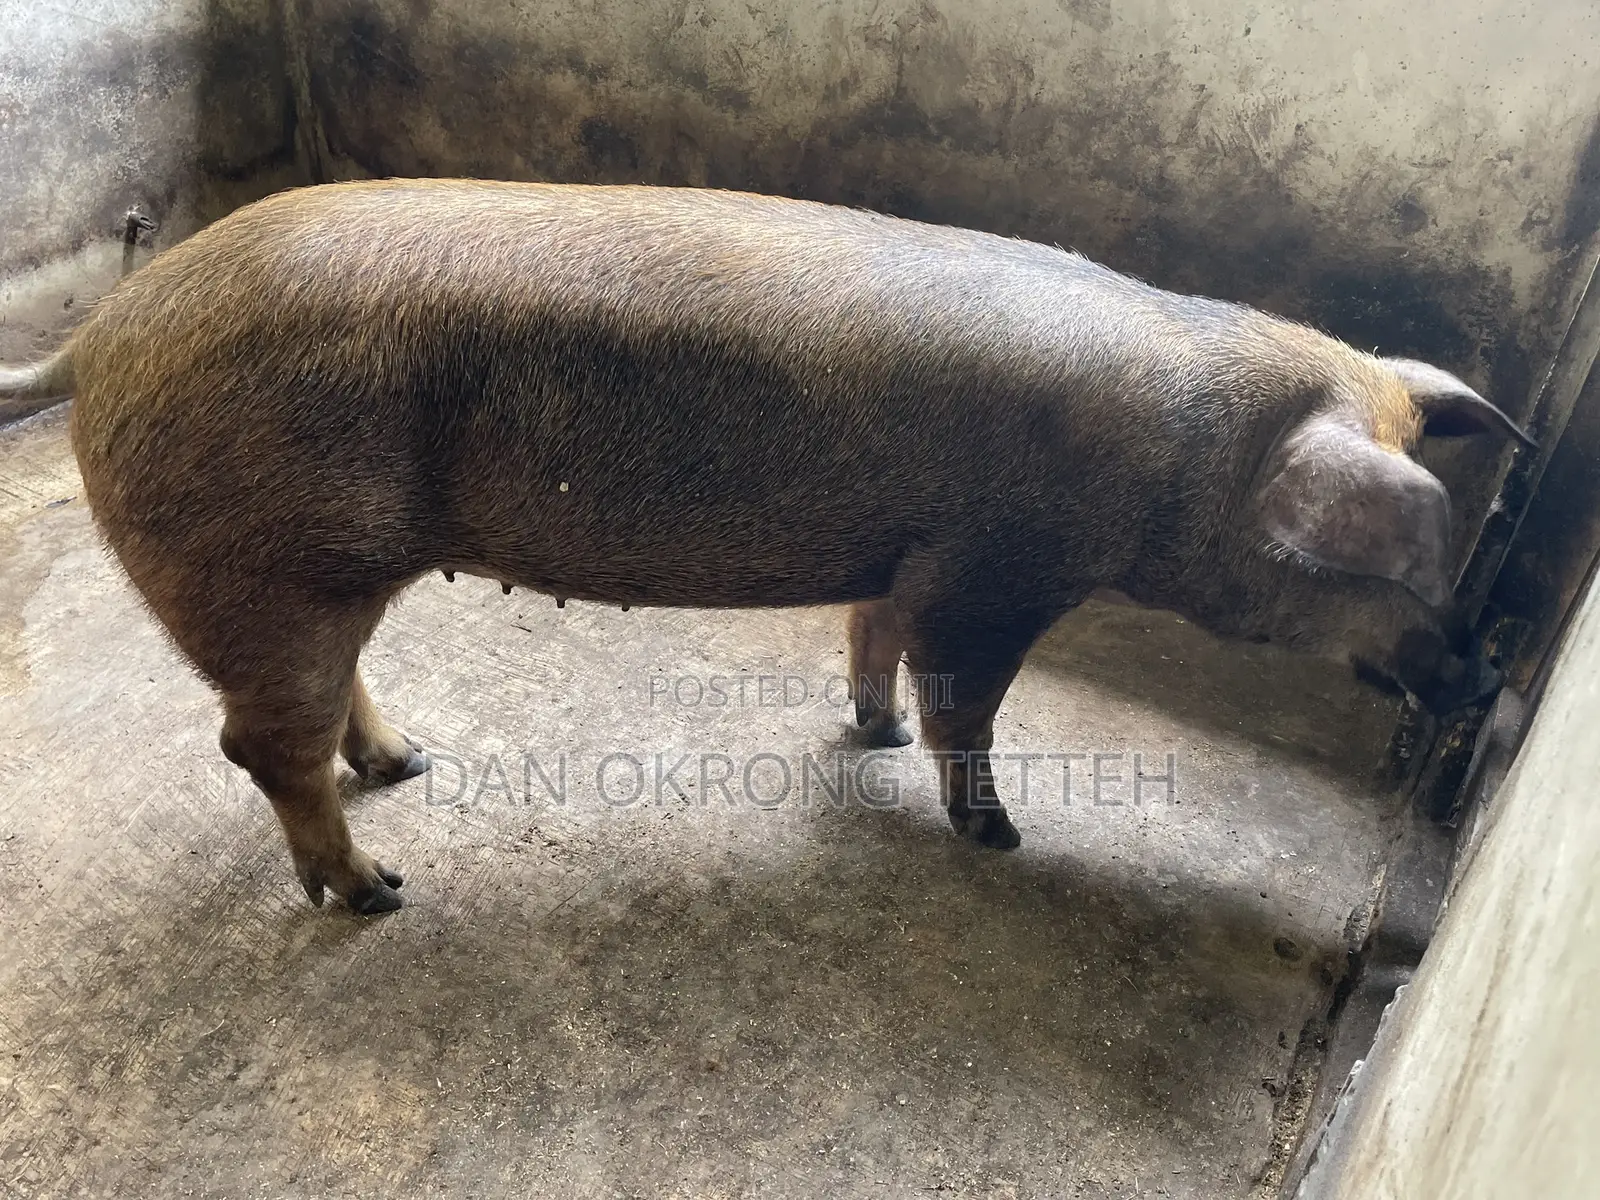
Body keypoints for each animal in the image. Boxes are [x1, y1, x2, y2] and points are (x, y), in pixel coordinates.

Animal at [0, 178, 1533, 914]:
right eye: (1388, 568)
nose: (1483, 681)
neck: (1179, 472)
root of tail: (109, 329)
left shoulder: (912, 556)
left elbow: (874, 637)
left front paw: (872, 737)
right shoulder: (999, 574)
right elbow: (968, 703)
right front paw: (997, 835)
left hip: (309, 577)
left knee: (316, 719)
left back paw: (413, 766)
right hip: (261, 567)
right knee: (258, 744)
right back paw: (378, 896)